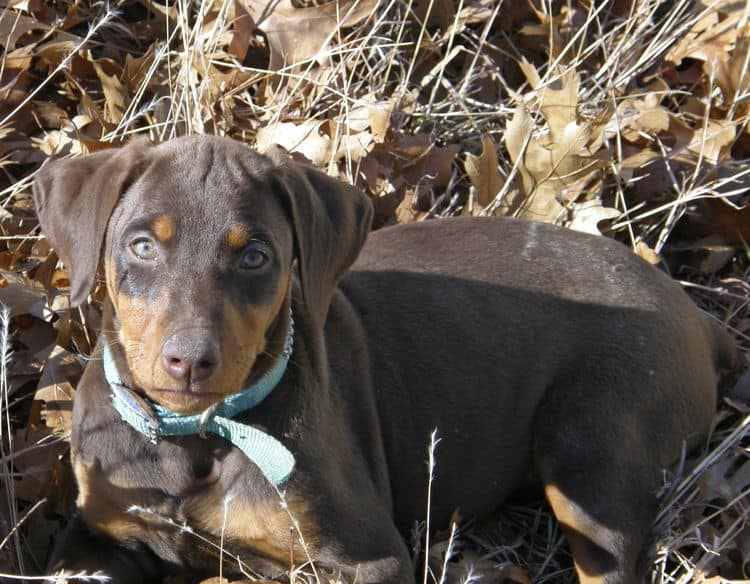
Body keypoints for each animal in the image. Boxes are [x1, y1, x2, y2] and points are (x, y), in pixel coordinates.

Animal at [33, 135, 740, 580]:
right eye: (142, 247)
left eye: (256, 256)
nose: (189, 361)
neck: (192, 437)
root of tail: (696, 318)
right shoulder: (99, 533)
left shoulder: (366, 558)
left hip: (593, 453)